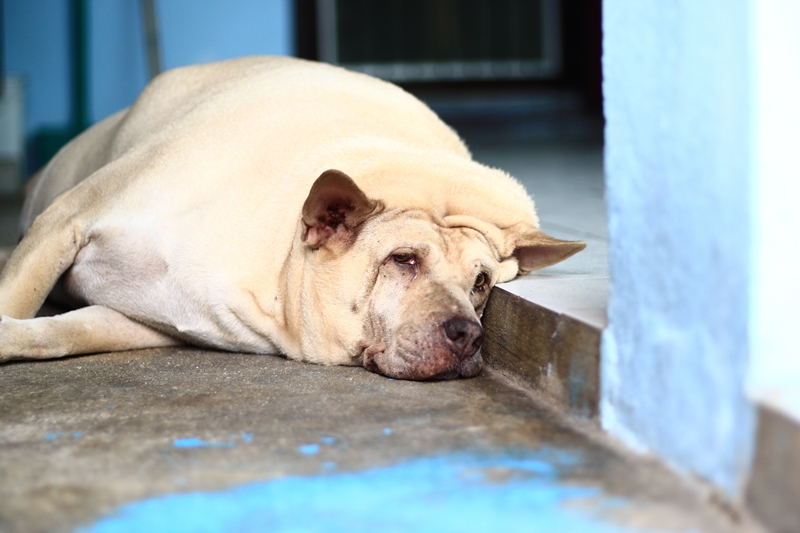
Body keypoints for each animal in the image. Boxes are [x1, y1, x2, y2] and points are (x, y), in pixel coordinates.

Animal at [0, 57, 584, 378]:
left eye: (481, 283)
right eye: (403, 260)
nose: (469, 334)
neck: (278, 266)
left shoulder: (143, 321)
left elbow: (61, 332)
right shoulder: (67, 219)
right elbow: (19, 297)